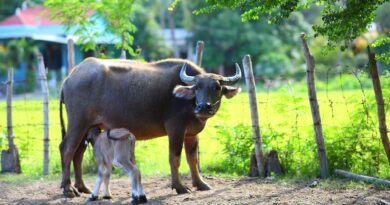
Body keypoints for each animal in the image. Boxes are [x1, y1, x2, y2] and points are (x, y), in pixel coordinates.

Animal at [58, 57, 241, 197]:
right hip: (77, 123)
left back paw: (82, 187)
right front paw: (180, 187)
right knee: (66, 149)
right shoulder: (175, 129)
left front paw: (200, 184)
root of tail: (70, 77)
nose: (203, 107)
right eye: (197, 87)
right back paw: (68, 189)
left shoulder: (191, 133)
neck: (186, 101)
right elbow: (175, 158)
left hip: (87, 127)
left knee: (78, 153)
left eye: (217, 87)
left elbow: (192, 158)